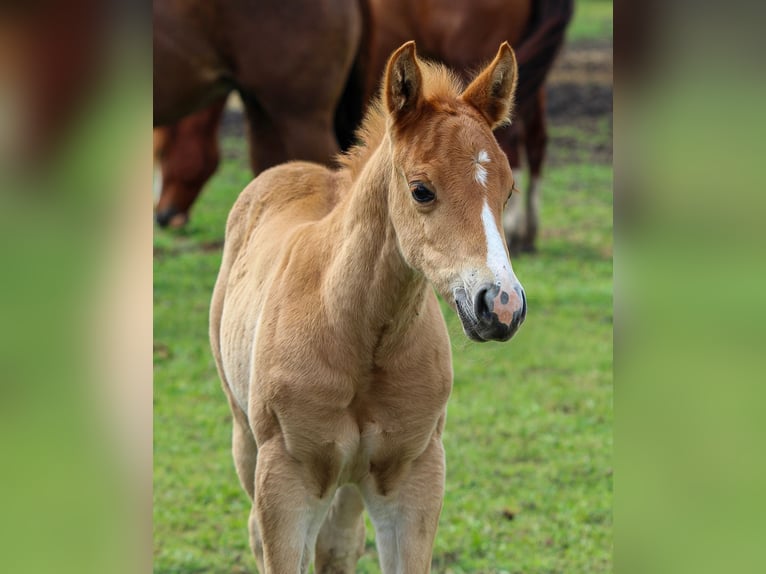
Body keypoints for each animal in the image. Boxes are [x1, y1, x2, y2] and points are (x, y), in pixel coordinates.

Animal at [210, 41, 527, 573]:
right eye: (421, 190)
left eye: (508, 190)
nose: (501, 305)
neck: (352, 330)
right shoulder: (286, 481)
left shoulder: (414, 478)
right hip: (246, 439)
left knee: (337, 544)